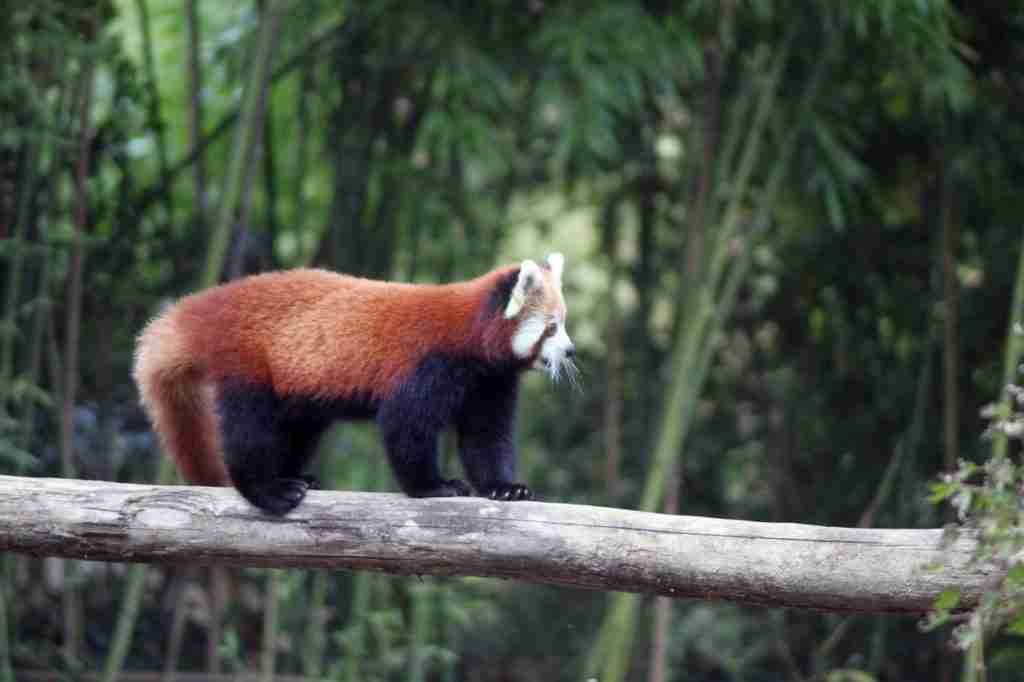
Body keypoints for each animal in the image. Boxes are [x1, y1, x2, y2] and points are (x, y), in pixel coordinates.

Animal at [132, 251, 573, 512]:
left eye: (563, 324)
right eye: (552, 328)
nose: (570, 352)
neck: (471, 339)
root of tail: (210, 305)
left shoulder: (490, 382)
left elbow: (486, 437)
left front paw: (504, 487)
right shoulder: (426, 365)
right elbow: (405, 427)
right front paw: (434, 486)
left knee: (299, 428)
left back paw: (295, 475)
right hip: (249, 364)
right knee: (248, 431)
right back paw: (268, 489)